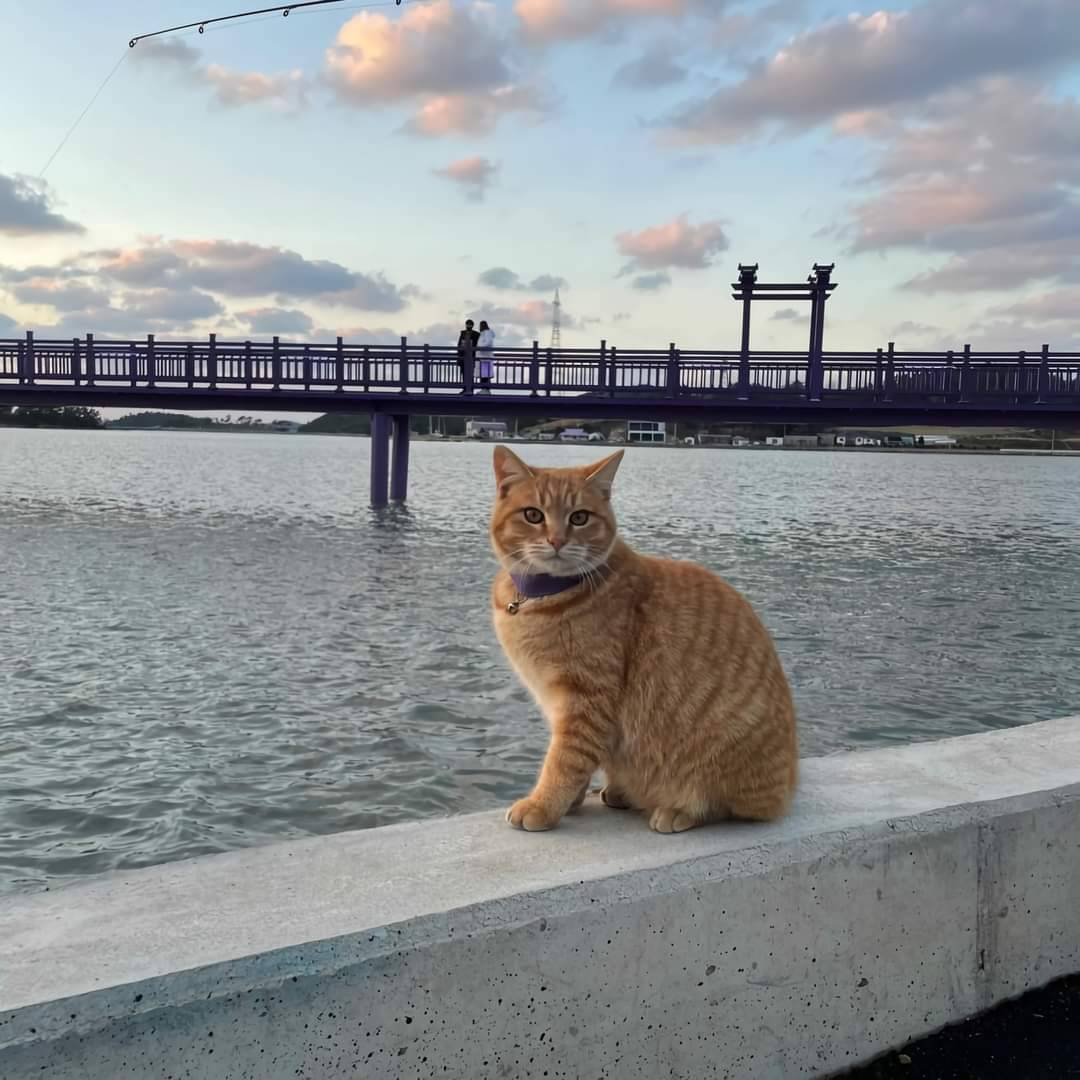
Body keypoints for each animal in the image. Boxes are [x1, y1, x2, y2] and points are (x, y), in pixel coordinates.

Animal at [490, 442, 794, 829]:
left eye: (579, 518)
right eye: (532, 515)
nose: (557, 540)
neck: (541, 596)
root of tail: (787, 787)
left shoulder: (585, 700)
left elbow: (564, 761)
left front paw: (543, 805)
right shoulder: (562, 706)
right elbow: (573, 759)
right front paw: (569, 802)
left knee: (723, 806)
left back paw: (678, 810)